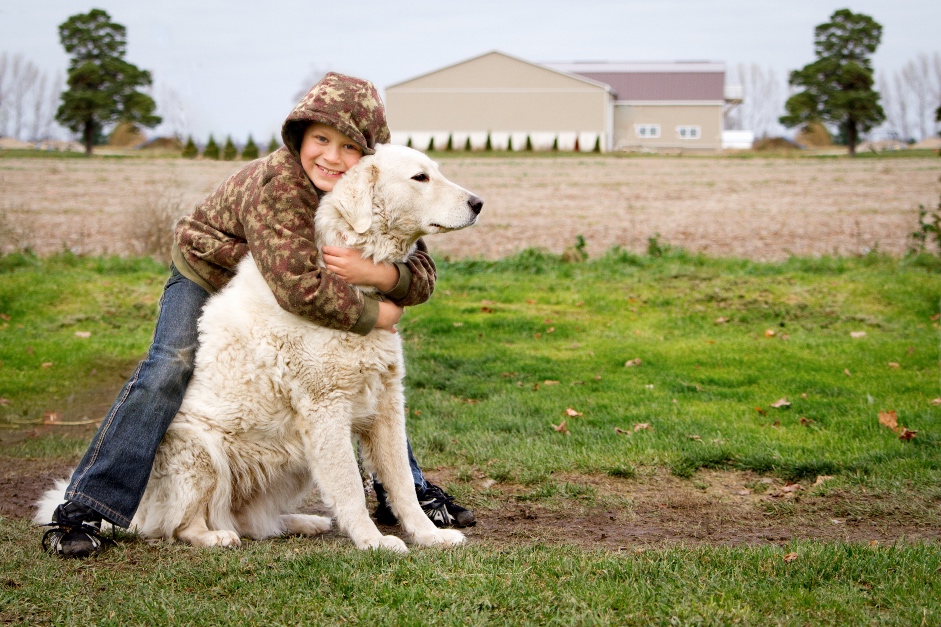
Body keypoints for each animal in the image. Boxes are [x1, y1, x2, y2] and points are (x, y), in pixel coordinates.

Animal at [37, 144, 482, 556]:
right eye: (420, 177)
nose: (478, 203)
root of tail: (139, 512)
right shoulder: (326, 409)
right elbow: (351, 488)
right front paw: (373, 541)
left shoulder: (386, 402)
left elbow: (401, 483)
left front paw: (429, 535)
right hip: (200, 452)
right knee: (181, 526)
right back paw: (213, 536)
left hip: (295, 461)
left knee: (253, 521)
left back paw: (303, 522)